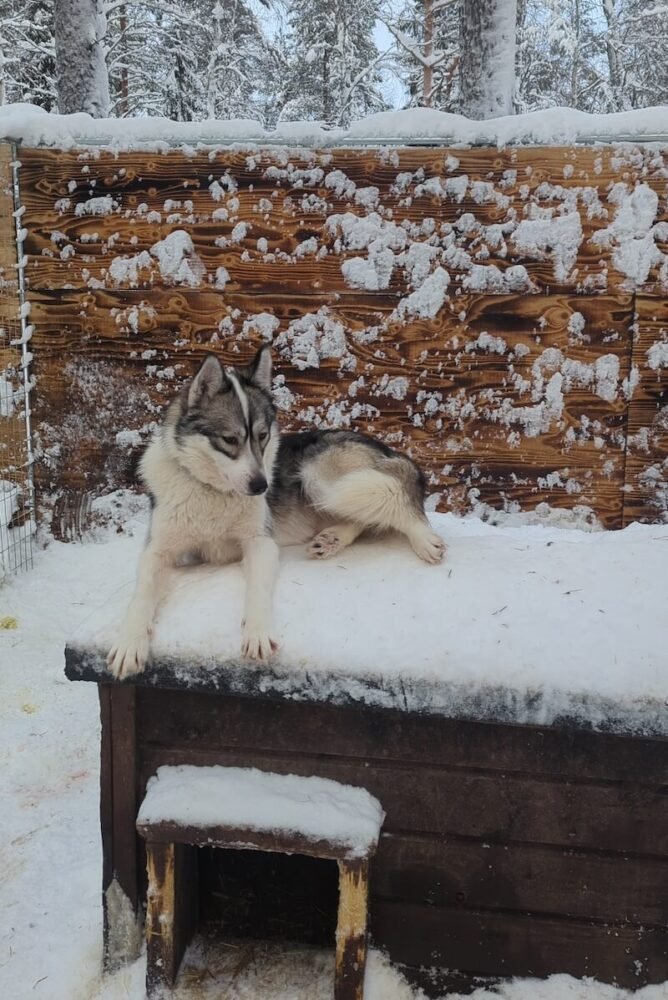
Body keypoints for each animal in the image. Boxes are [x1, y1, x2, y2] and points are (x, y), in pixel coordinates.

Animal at [107, 346, 446, 680]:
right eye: (229, 439)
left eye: (262, 436)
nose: (261, 486)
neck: (214, 493)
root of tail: (385, 448)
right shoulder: (158, 551)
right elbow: (140, 596)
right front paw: (129, 643)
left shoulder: (261, 543)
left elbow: (257, 592)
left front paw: (257, 634)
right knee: (364, 517)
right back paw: (332, 539)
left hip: (322, 477)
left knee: (396, 498)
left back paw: (423, 539)